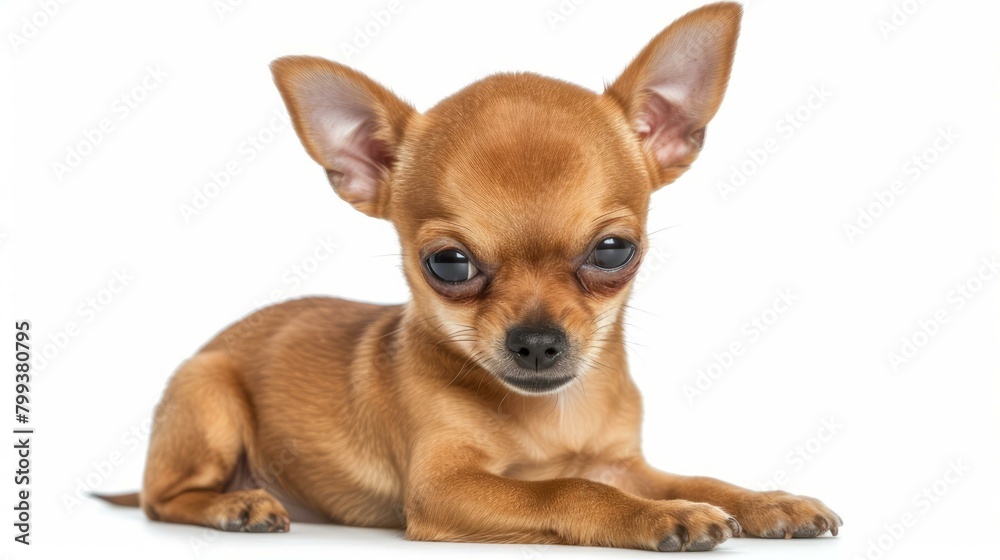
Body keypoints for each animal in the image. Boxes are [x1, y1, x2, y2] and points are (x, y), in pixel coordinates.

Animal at [101, 2, 840, 552]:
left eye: (612, 252)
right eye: (449, 263)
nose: (536, 342)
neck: (551, 418)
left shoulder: (625, 464)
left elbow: (699, 477)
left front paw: (768, 501)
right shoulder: (445, 488)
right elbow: (567, 489)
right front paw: (662, 515)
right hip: (209, 393)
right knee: (162, 501)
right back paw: (238, 505)